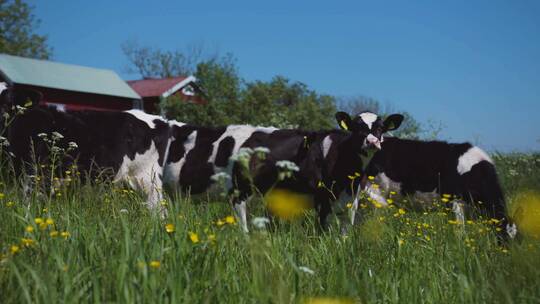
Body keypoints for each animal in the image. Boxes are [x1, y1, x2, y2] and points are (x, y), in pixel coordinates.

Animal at [167, 110, 402, 232]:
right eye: (357, 128)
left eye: (380, 128)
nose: (372, 142)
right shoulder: (321, 199)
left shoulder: (352, 201)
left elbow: (344, 233)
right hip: (239, 191)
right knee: (242, 224)